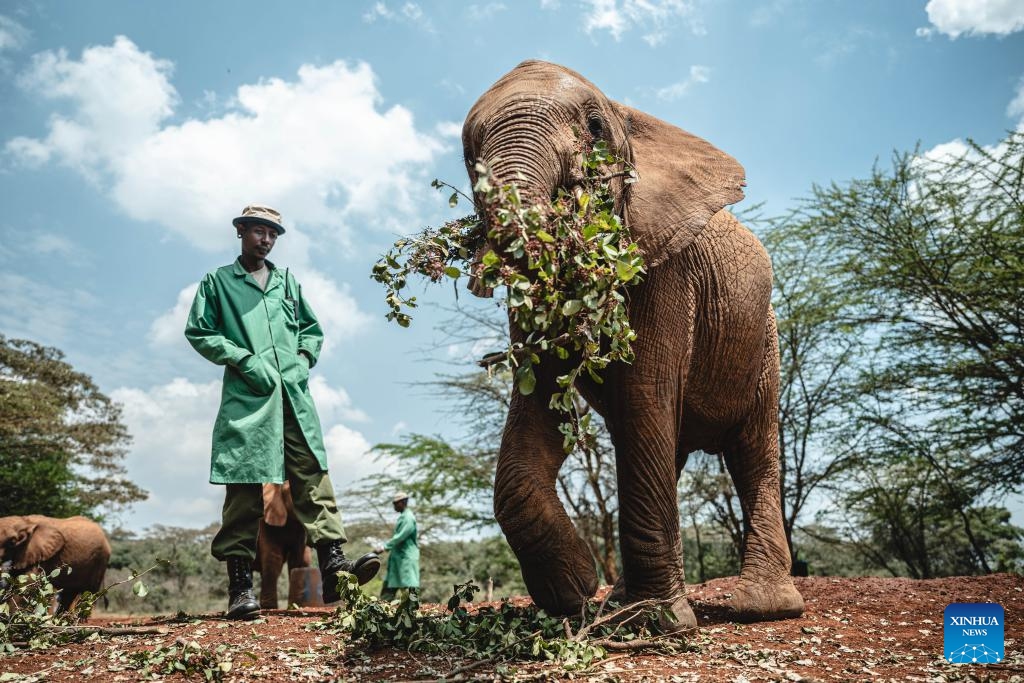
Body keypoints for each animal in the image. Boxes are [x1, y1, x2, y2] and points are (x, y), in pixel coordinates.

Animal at [460, 60, 804, 629]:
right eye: (469, 155)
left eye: (595, 128)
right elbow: (540, 399)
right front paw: (574, 592)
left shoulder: (666, 269)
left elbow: (643, 392)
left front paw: (657, 622)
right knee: (666, 444)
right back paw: (619, 598)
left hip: (765, 342)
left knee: (753, 450)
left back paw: (760, 607)